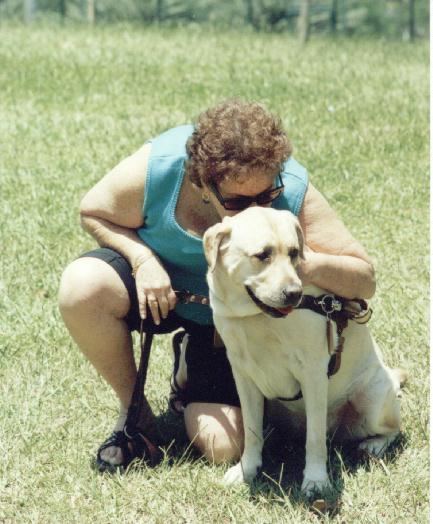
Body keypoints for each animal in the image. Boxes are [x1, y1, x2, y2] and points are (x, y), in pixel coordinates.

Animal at [204, 206, 404, 496]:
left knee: (392, 430)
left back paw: (373, 445)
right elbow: (252, 431)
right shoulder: (243, 375)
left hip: (373, 401)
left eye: (294, 253)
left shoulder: (313, 372)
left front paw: (316, 481)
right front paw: (246, 471)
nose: (293, 293)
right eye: (262, 255)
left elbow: (315, 439)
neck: (255, 317)